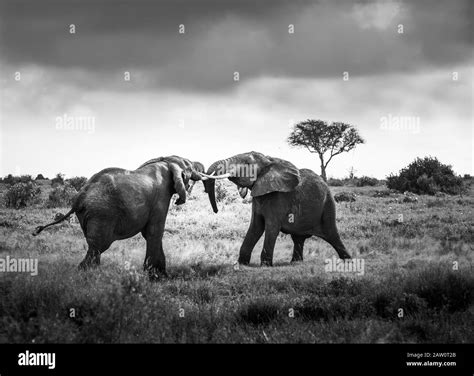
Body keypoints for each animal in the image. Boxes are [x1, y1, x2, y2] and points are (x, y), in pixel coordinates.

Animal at [32, 156, 227, 280]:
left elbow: (150, 234)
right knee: (98, 247)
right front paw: (157, 277)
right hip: (101, 214)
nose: (216, 211)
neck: (167, 160)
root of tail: (79, 198)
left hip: (88, 216)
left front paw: (158, 275)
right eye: (190, 168)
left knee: (94, 247)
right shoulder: (161, 196)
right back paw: (88, 276)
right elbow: (155, 232)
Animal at [202, 151, 350, 266]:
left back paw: (348, 261)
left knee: (332, 234)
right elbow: (255, 227)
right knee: (298, 239)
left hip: (328, 204)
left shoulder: (278, 199)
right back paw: (295, 263)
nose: (216, 211)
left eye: (247, 163)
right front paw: (241, 264)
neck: (269, 161)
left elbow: (271, 227)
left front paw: (265, 266)